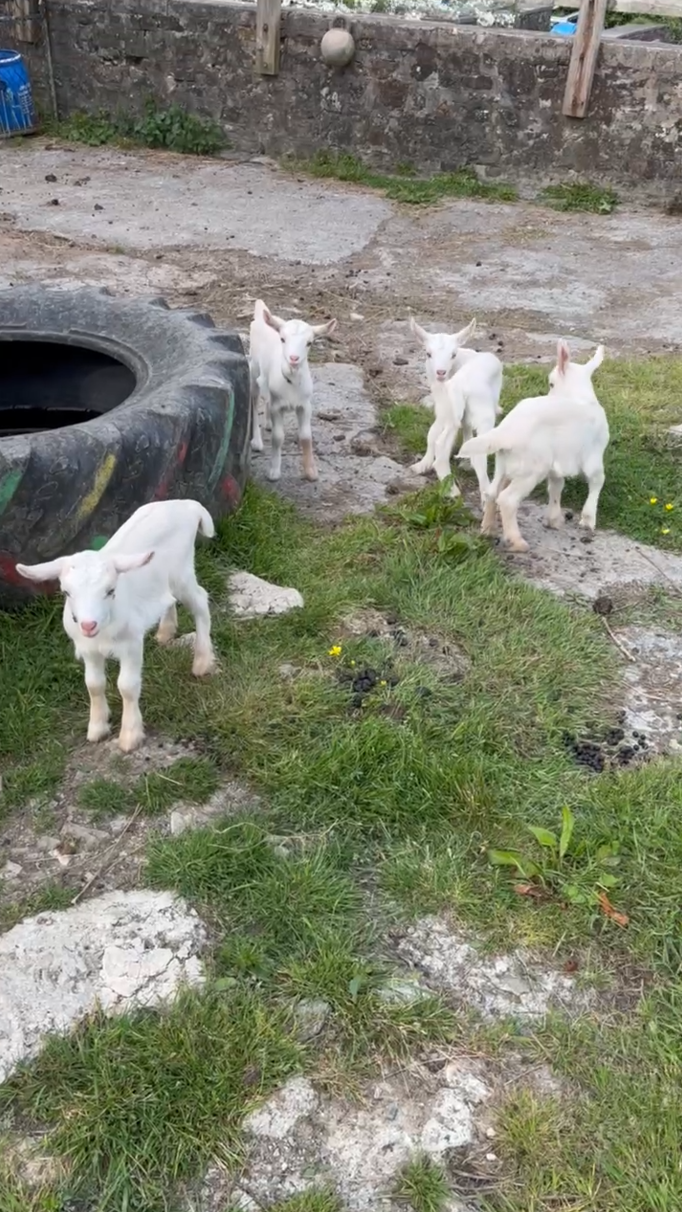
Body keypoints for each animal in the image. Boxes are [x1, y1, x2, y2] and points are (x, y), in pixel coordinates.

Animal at [16, 499, 216, 753]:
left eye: (110, 590)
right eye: (66, 592)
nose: (88, 625)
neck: (104, 630)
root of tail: (188, 505)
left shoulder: (131, 644)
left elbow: (127, 686)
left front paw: (130, 735)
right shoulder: (88, 649)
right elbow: (93, 684)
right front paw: (97, 728)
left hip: (181, 572)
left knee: (200, 600)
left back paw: (202, 661)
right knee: (168, 598)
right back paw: (165, 632)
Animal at [249, 299, 337, 483]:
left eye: (309, 343)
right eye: (282, 339)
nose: (294, 358)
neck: (292, 382)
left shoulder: (305, 405)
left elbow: (306, 436)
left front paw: (311, 472)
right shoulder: (278, 407)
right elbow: (278, 437)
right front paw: (274, 472)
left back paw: (268, 423)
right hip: (253, 369)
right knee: (254, 401)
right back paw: (257, 442)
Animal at [409, 317, 503, 502]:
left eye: (453, 354)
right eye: (428, 353)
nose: (440, 372)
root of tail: (460, 386)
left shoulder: (443, 408)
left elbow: (433, 433)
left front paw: (424, 464)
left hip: (451, 410)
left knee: (438, 439)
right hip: (482, 413)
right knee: (477, 452)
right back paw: (481, 493)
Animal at [458, 341, 608, 553]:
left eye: (551, 383)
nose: (549, 392)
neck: (581, 398)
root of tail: (506, 433)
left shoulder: (558, 465)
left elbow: (556, 487)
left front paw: (553, 520)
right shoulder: (593, 457)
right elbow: (597, 482)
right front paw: (588, 521)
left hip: (504, 465)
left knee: (492, 493)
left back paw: (488, 530)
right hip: (532, 469)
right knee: (507, 500)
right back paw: (517, 542)